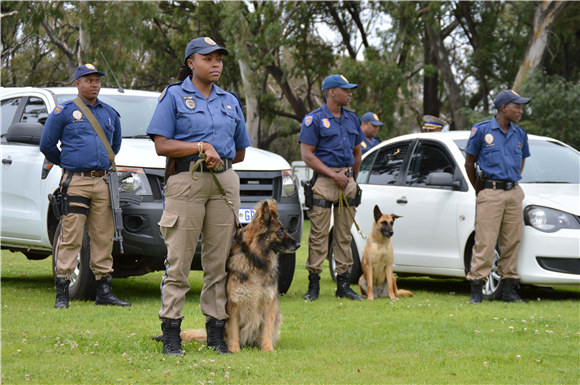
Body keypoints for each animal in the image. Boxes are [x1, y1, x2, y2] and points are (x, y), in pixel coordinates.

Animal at [180, 200, 300, 352]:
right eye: (280, 231)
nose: (299, 244)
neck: (254, 261)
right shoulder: (234, 304)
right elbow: (233, 330)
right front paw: (234, 349)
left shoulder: (269, 304)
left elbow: (267, 330)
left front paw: (267, 349)